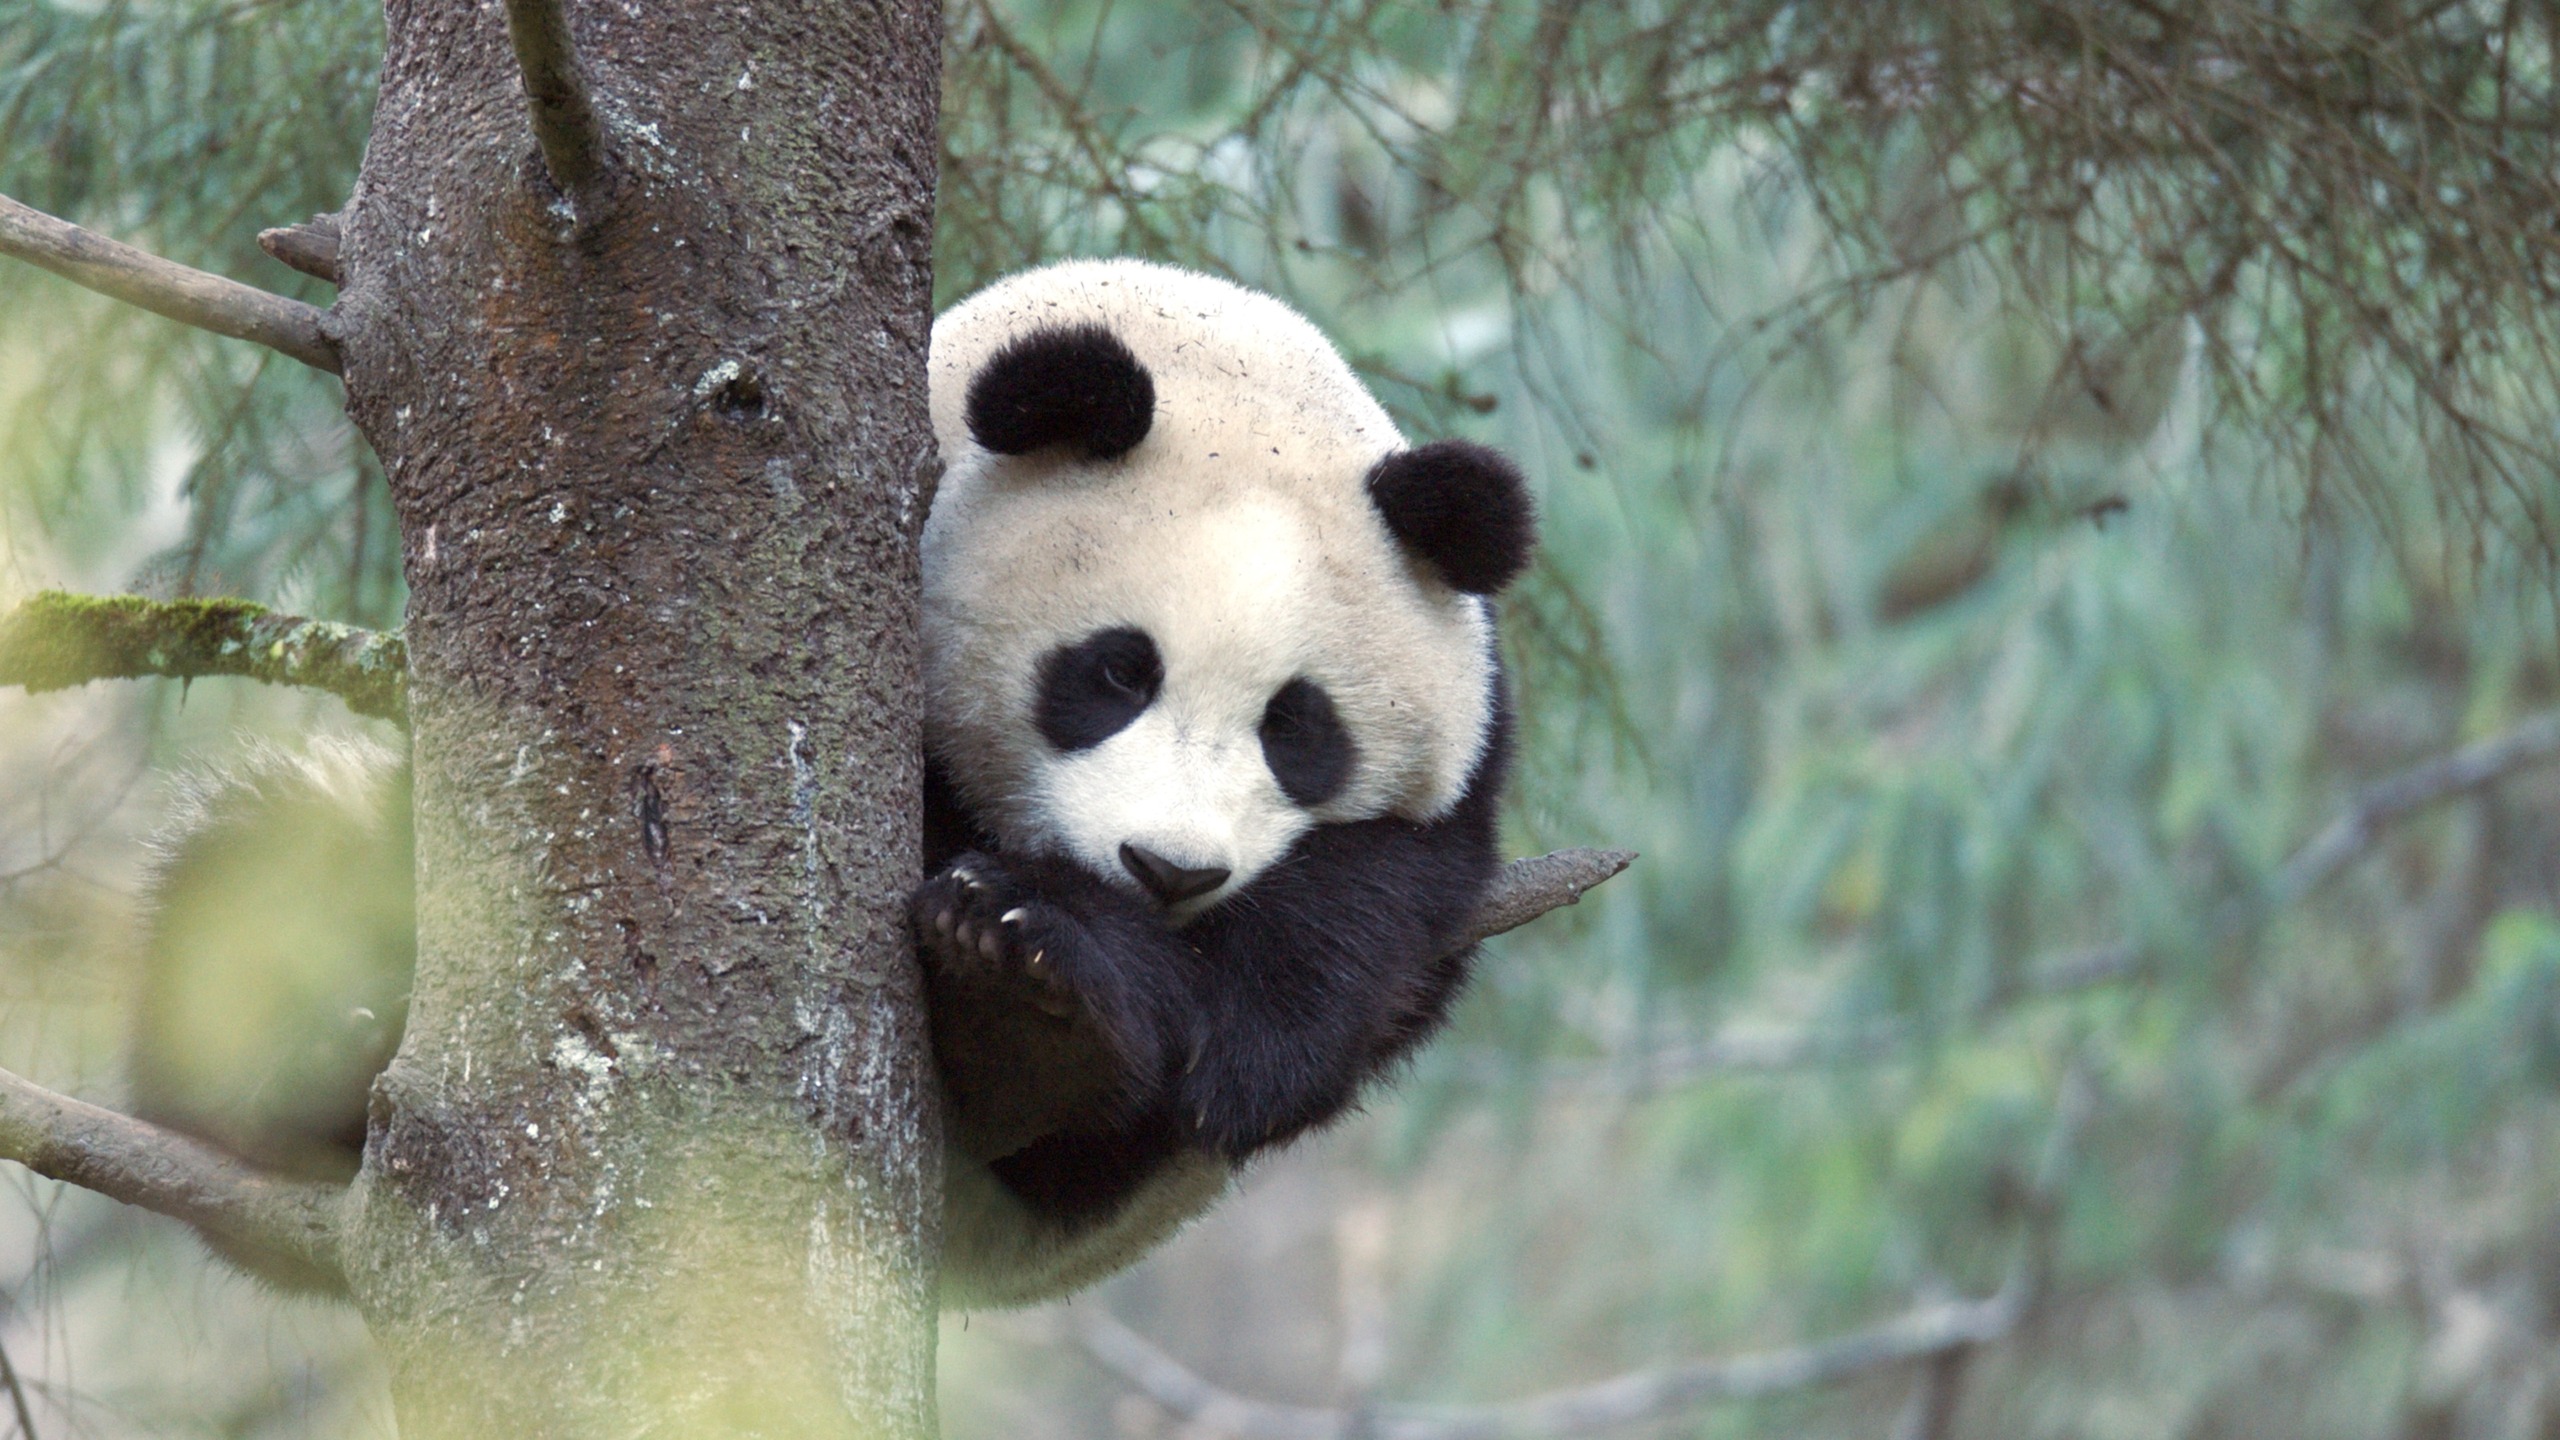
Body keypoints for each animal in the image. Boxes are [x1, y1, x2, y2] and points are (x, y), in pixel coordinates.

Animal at [129, 257, 1525, 1301]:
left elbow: (1350, 953)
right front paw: (1034, 951)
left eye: (1300, 730)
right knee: (260, 875)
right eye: (1114, 673)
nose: (1167, 870)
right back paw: (310, 1042)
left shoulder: (1458, 787)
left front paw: (1055, 972)